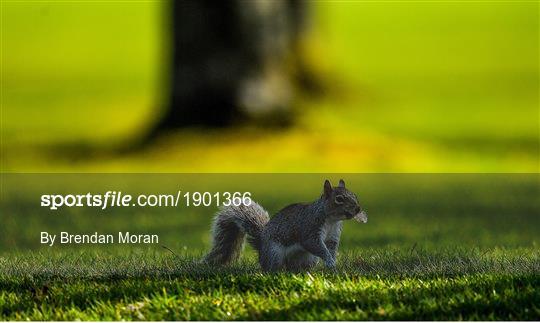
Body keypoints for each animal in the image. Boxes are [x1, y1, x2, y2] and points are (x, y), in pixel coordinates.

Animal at [202, 180, 368, 270]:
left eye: (355, 195)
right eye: (339, 199)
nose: (358, 209)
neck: (331, 220)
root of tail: (262, 247)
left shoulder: (334, 234)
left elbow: (331, 247)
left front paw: (332, 263)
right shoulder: (309, 228)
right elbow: (315, 245)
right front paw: (329, 261)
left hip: (308, 259)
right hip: (274, 253)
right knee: (272, 267)